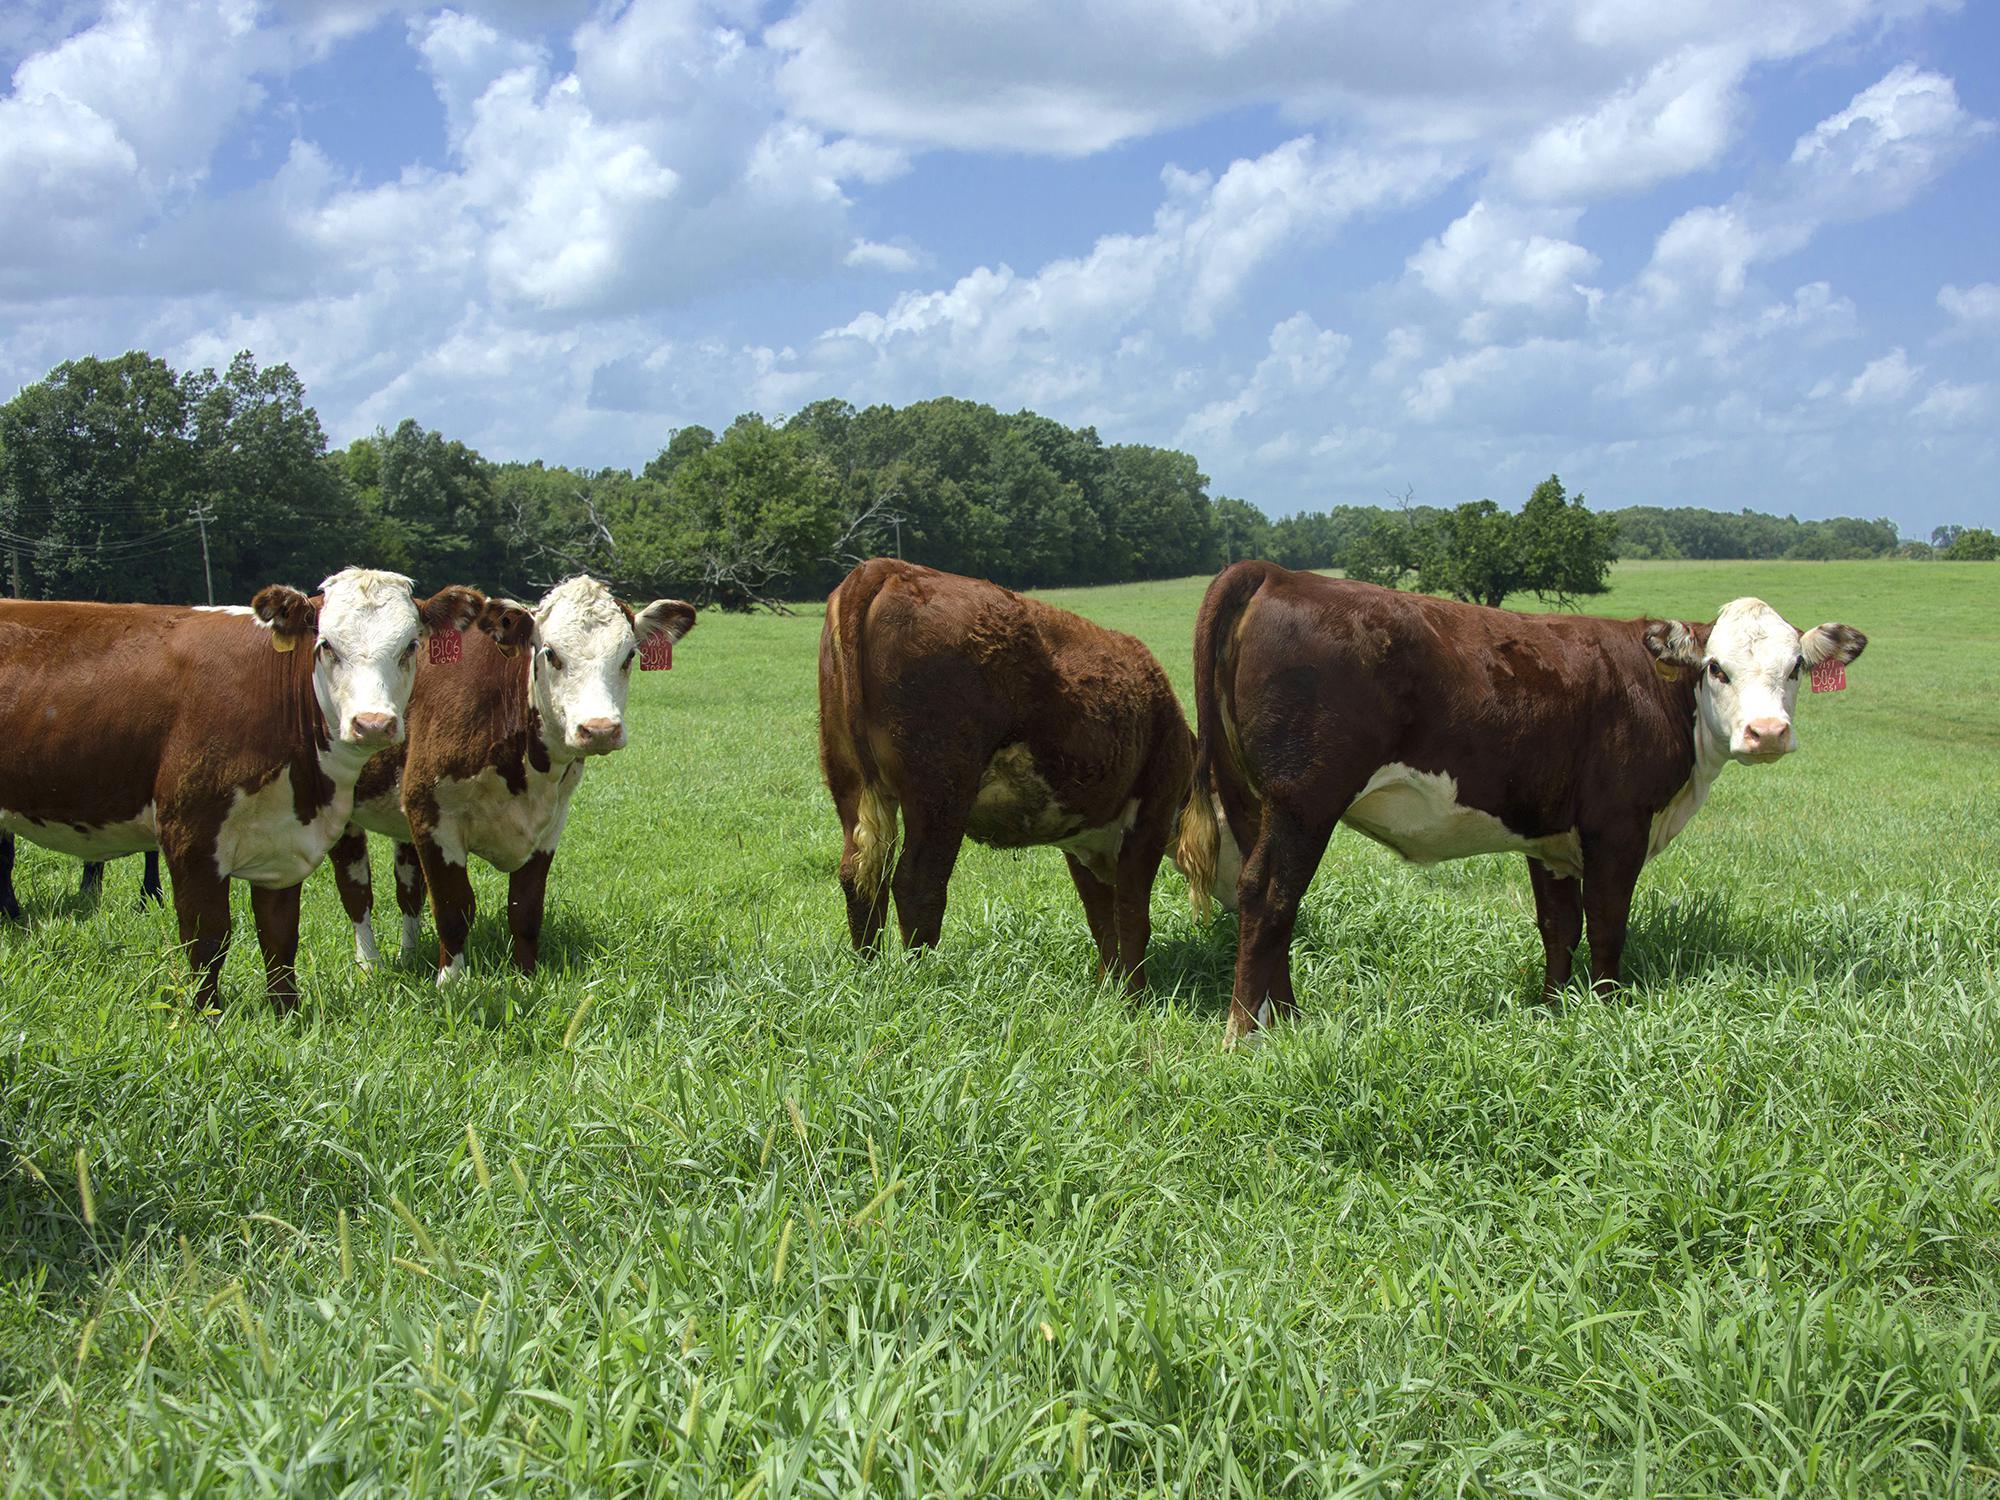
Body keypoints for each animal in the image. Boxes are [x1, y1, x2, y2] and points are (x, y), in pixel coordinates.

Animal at [326, 576, 696, 988]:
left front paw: (526, 976)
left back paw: (408, 954)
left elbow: (525, 907)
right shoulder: (431, 814)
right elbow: (454, 907)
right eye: (551, 653)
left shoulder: (550, 822)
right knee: (356, 892)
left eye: (629, 655)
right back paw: (369, 964)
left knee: (408, 890)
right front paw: (451, 983)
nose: (599, 729)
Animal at [812, 560, 1184, 992]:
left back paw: (867, 974)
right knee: (917, 882)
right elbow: (1133, 917)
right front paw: (1134, 995)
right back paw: (923, 982)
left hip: (851, 781)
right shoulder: (1152, 814)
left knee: (860, 876)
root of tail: (889, 569)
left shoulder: (1082, 840)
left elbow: (1103, 919)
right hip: (940, 788)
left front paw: (1109, 986)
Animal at [1176, 564, 1864, 1048]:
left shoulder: (1550, 836)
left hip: (1257, 801)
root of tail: (1277, 572)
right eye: (1717, 668)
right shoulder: (1617, 827)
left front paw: (1557, 1009)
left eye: (1796, 667)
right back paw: (1246, 1034)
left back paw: (1286, 1019)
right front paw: (1608, 1008)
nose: (1767, 733)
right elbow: (1608, 923)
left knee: (1264, 898)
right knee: (1269, 895)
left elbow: (1559, 925)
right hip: (1304, 802)